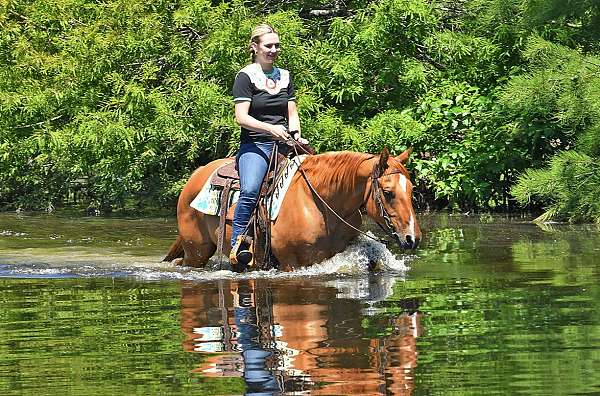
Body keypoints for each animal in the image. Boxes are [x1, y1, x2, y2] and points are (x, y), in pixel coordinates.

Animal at [162, 147, 420, 270]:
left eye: (411, 190)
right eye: (388, 192)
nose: (412, 238)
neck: (320, 203)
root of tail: (196, 174)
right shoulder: (291, 264)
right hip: (197, 252)